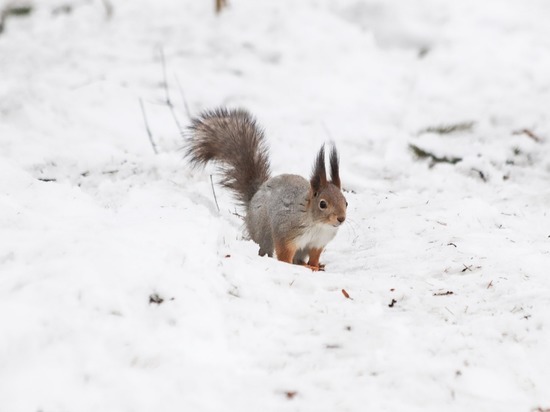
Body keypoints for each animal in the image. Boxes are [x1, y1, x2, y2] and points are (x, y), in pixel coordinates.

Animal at [188, 108, 348, 272]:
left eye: (346, 202)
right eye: (323, 204)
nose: (341, 218)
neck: (318, 224)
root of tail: (253, 198)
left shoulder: (318, 243)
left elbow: (315, 256)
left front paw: (315, 266)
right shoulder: (286, 232)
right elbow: (284, 253)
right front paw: (287, 265)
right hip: (263, 232)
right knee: (266, 249)